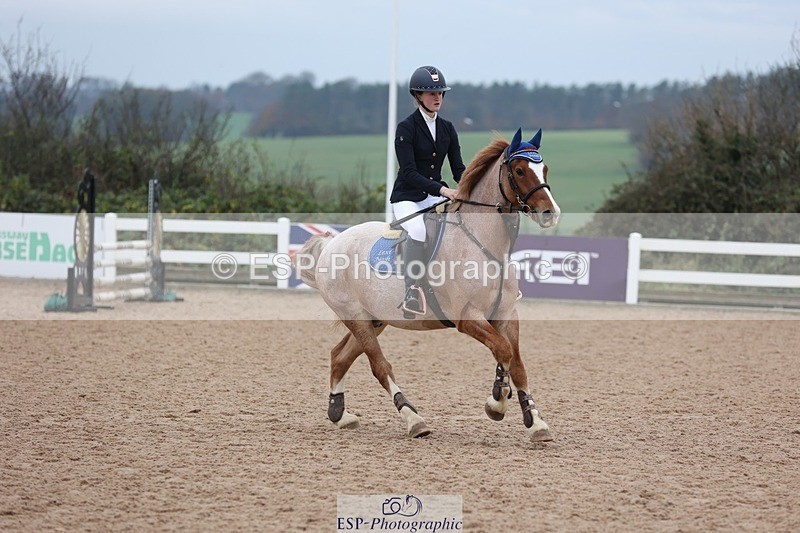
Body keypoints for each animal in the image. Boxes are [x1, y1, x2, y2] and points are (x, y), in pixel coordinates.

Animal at [295, 128, 561, 442]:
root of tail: (331, 243)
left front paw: (536, 422)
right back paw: (413, 419)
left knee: (339, 356)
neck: (484, 244)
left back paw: (340, 415)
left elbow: (516, 363)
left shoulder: (507, 315)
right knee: (380, 366)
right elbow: (504, 350)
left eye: (544, 168)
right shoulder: (467, 317)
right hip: (356, 317)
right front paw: (496, 403)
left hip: (375, 320)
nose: (550, 213)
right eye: (519, 171)